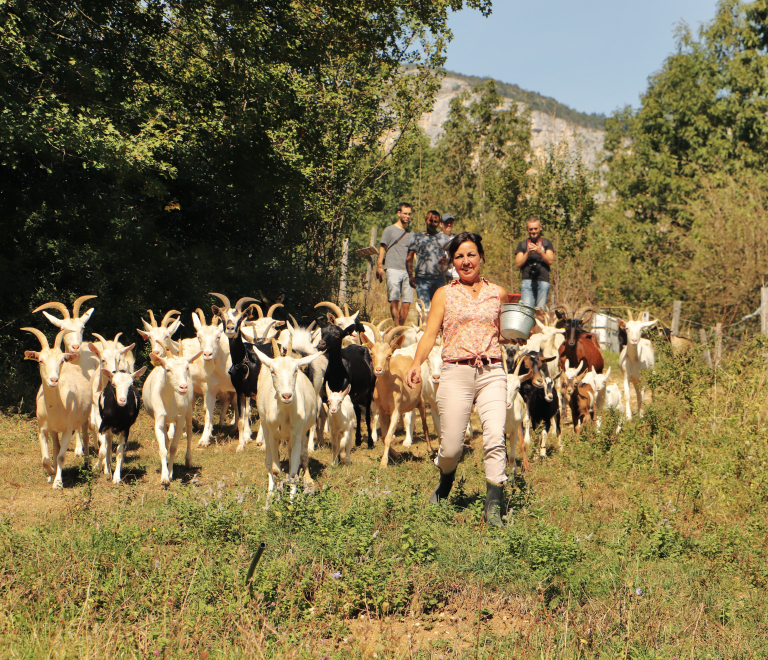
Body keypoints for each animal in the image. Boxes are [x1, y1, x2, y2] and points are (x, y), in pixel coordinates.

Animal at [22, 328, 92, 488]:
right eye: (40, 360)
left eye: (61, 361)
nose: (54, 380)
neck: (55, 408)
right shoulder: (42, 429)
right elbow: (46, 458)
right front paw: (52, 474)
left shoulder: (67, 430)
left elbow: (61, 456)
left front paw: (58, 482)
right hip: (53, 430)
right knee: (55, 446)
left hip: (85, 417)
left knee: (85, 436)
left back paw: (87, 464)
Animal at [141, 346, 201, 484]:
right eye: (168, 369)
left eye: (187, 368)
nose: (183, 387)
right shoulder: (159, 419)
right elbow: (163, 448)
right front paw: (164, 477)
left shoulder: (180, 419)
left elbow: (174, 447)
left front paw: (170, 473)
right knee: (167, 438)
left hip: (188, 410)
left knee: (189, 431)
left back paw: (188, 461)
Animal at [316, 320, 376, 448]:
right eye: (322, 332)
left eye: (337, 335)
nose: (321, 344)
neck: (337, 376)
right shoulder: (330, 396)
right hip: (356, 397)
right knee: (358, 412)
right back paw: (357, 440)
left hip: (369, 391)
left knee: (367, 415)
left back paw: (370, 442)